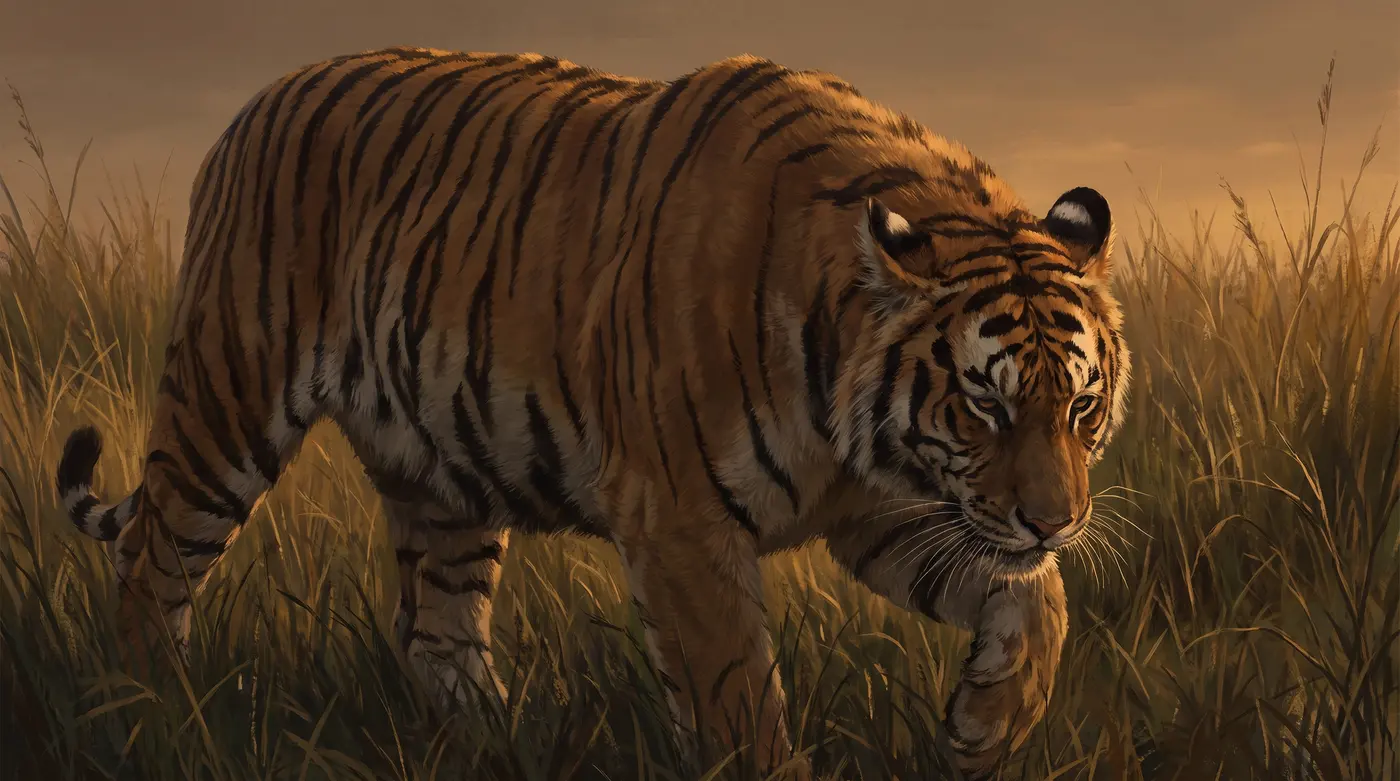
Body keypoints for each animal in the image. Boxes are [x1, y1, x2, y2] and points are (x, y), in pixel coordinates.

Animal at [53, 47, 1130, 779]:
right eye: (985, 403)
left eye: (1081, 404)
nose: (1058, 520)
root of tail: (260, 97)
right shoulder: (682, 522)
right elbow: (738, 695)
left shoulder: (888, 509)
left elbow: (1037, 603)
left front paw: (985, 723)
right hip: (224, 403)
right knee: (148, 565)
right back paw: (155, 717)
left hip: (444, 472)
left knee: (434, 630)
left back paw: (500, 742)